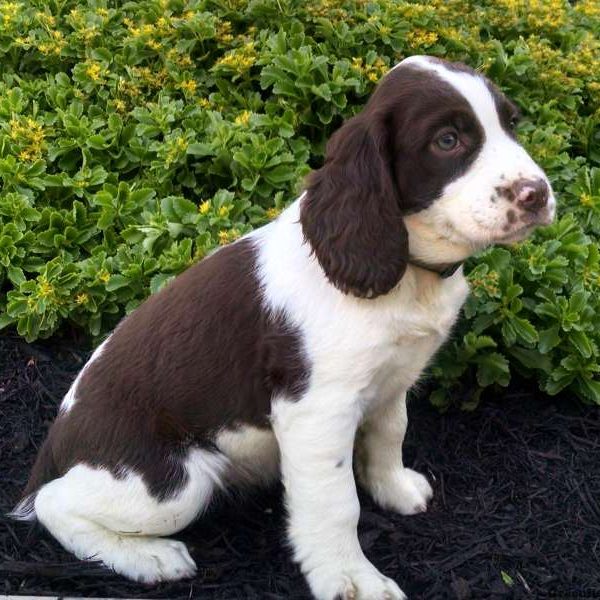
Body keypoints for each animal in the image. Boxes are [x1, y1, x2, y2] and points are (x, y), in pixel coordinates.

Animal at [11, 56, 556, 600]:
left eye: (512, 124)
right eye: (448, 140)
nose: (538, 195)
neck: (408, 271)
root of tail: (54, 445)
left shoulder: (392, 376)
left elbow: (390, 431)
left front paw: (395, 489)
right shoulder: (315, 411)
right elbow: (336, 504)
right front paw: (352, 579)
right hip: (173, 483)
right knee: (53, 504)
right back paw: (149, 558)